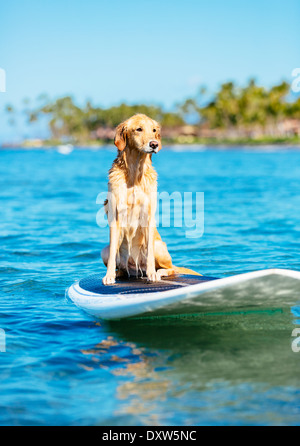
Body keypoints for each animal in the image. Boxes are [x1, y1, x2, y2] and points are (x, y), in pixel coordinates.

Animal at [101, 113, 202, 284]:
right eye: (139, 129)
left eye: (154, 130)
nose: (154, 144)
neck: (135, 172)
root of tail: (135, 268)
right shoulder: (115, 216)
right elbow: (113, 252)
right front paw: (109, 276)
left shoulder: (148, 216)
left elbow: (149, 254)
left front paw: (152, 274)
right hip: (105, 250)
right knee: (119, 264)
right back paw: (119, 272)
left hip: (160, 246)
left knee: (170, 268)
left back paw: (158, 272)